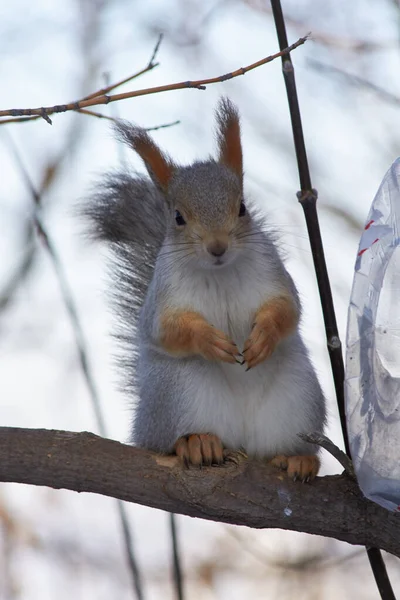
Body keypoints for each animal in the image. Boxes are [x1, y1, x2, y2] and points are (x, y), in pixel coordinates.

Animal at [83, 98, 324, 482]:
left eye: (242, 207)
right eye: (178, 217)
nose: (217, 246)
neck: (220, 273)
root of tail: (244, 441)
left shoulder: (273, 274)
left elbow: (288, 309)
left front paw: (264, 335)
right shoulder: (164, 297)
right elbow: (167, 330)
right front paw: (208, 339)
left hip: (299, 398)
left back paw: (298, 459)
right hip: (178, 393)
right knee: (173, 438)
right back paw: (196, 443)